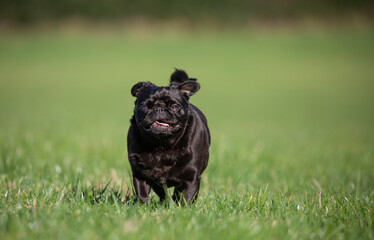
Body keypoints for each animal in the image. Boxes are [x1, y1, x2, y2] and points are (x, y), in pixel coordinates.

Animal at [127, 68, 210, 203]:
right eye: (144, 106)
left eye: (174, 106)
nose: (159, 108)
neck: (162, 145)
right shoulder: (140, 175)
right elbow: (142, 194)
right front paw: (143, 205)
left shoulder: (192, 178)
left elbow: (187, 197)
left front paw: (184, 207)